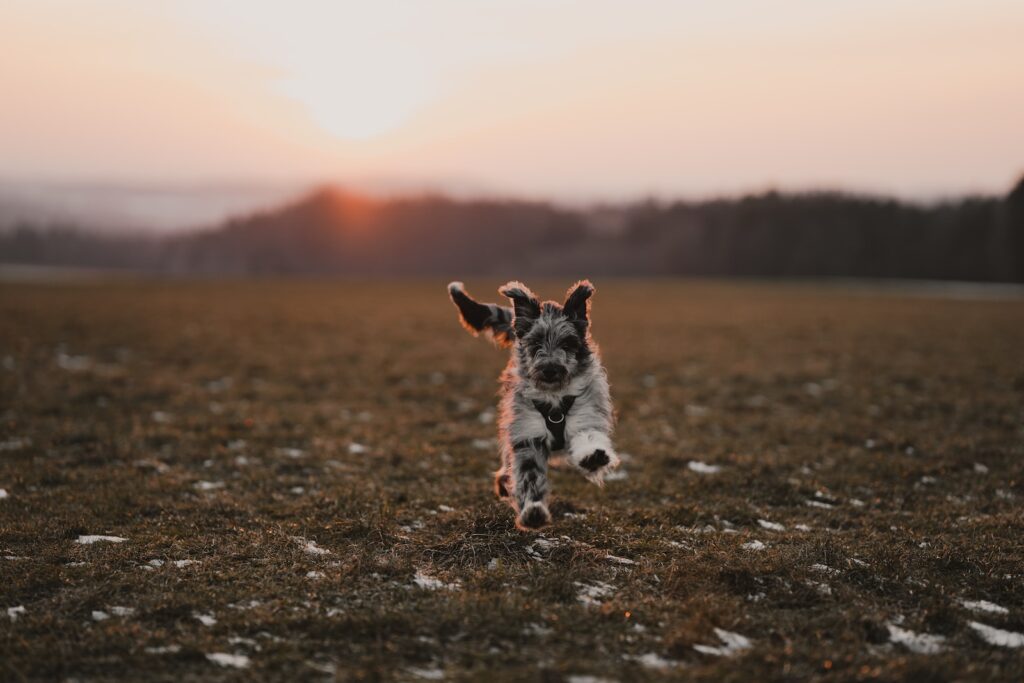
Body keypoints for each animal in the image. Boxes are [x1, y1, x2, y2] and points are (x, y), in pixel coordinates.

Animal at [446, 280, 614, 532]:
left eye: (567, 343)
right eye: (535, 343)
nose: (550, 369)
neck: (554, 400)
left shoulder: (585, 416)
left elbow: (589, 438)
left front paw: (592, 457)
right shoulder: (527, 436)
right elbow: (529, 475)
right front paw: (533, 511)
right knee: (507, 468)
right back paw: (505, 482)